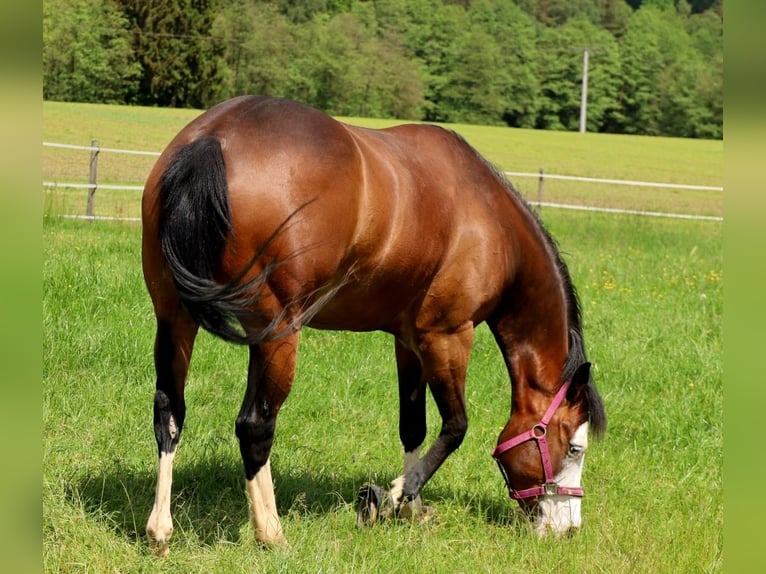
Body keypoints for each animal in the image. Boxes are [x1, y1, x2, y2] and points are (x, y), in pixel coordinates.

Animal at [141, 95, 606, 555]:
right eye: (574, 447)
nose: (569, 528)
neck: (488, 218)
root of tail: (214, 138)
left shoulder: (409, 341)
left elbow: (413, 424)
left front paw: (410, 509)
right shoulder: (448, 336)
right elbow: (456, 426)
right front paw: (393, 495)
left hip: (174, 317)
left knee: (170, 411)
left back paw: (160, 529)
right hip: (277, 334)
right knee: (255, 425)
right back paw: (271, 532)